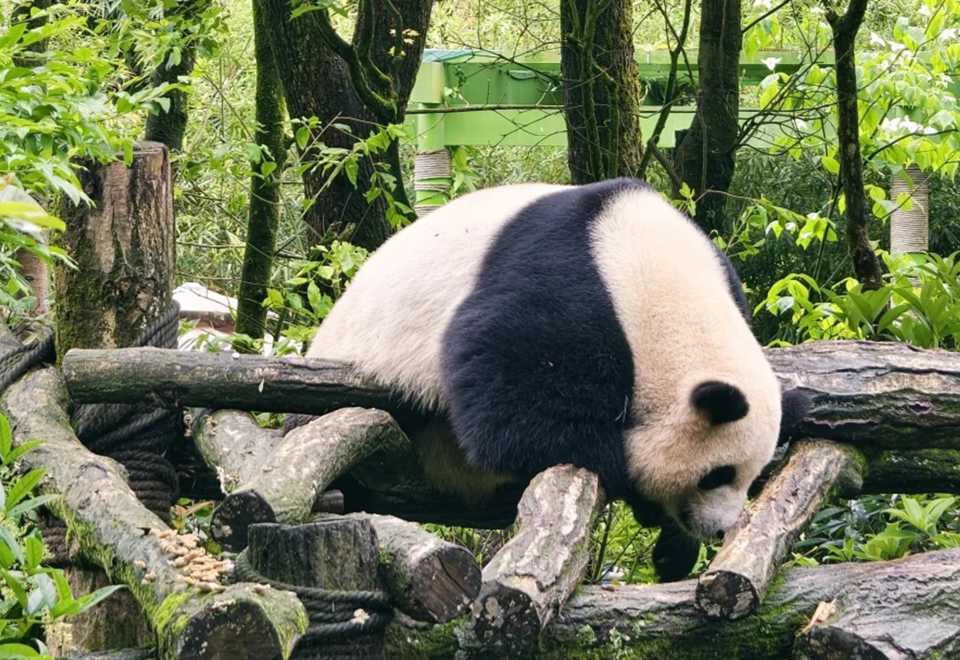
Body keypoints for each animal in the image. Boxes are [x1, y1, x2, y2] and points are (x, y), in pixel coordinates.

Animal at [307, 177, 807, 581]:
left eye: (752, 476)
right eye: (717, 474)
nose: (720, 528)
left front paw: (674, 549)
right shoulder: (565, 292)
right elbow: (505, 406)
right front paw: (643, 491)